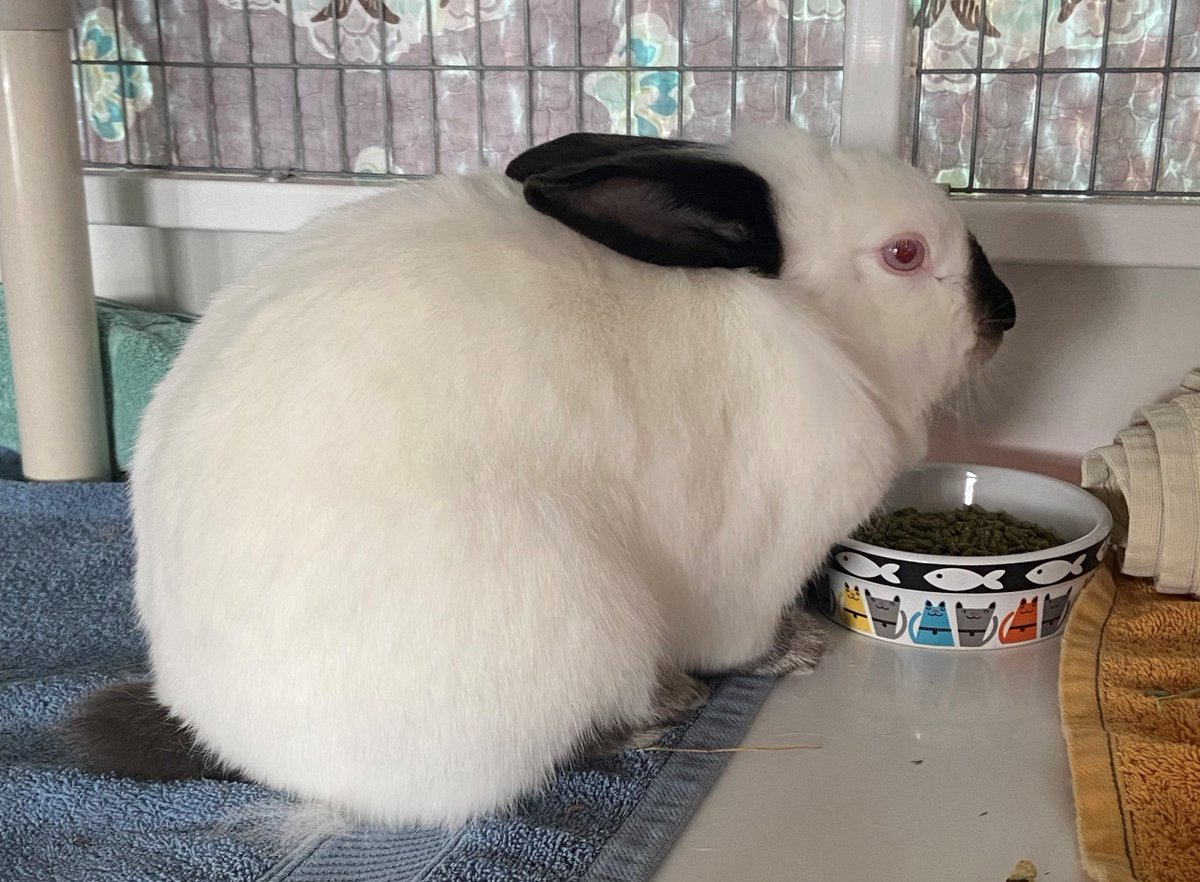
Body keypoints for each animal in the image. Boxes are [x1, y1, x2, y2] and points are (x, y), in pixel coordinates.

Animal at [68, 127, 1012, 830]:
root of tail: (238, 743)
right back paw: (664, 705)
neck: (814, 328)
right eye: (903, 254)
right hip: (575, 613)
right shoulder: (756, 551)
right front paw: (798, 647)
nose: (1005, 314)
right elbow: (739, 633)